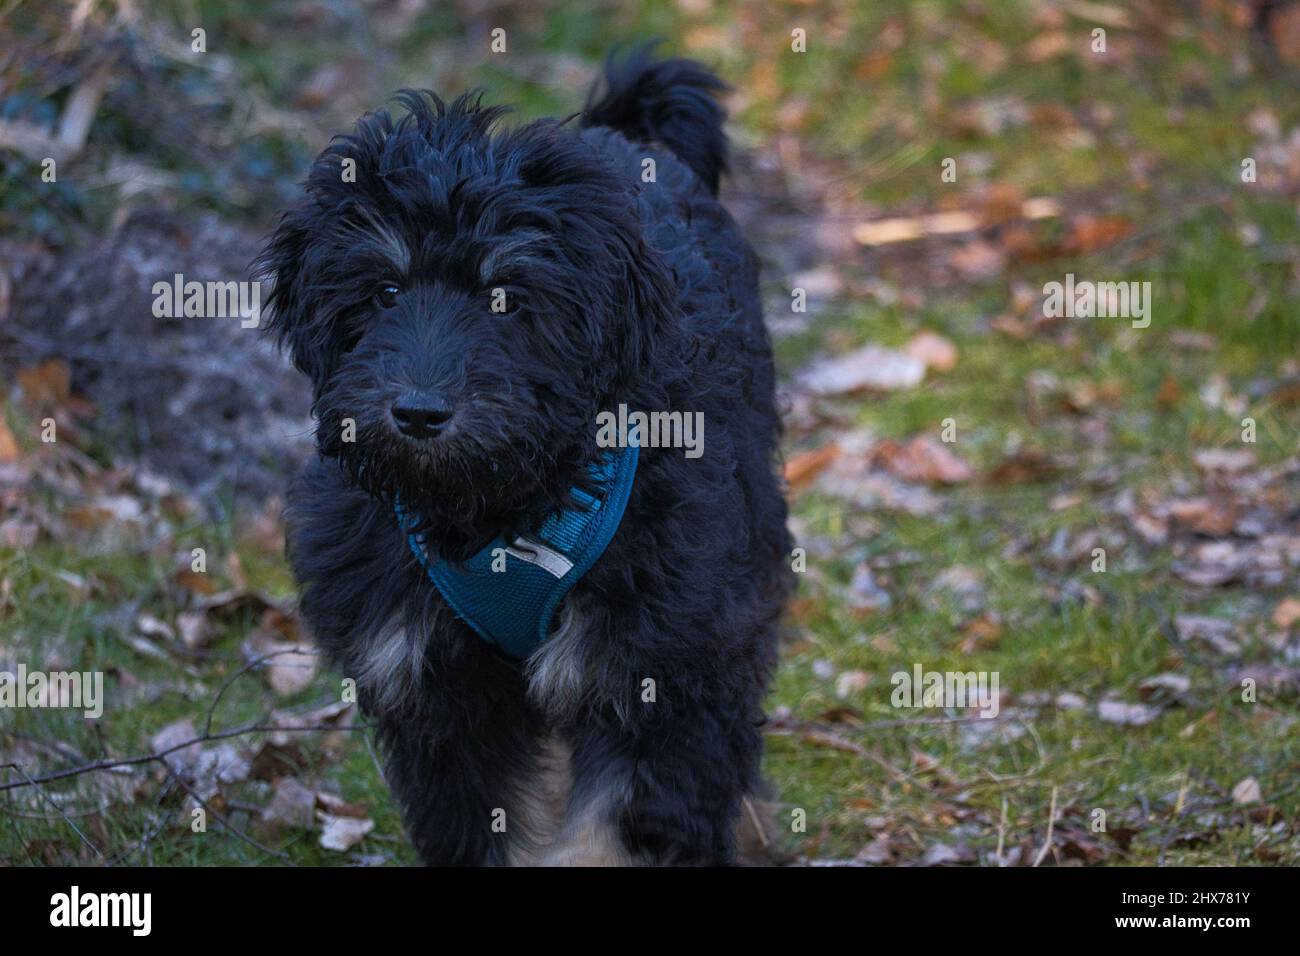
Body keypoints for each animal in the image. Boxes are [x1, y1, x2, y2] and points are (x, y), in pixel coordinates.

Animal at [256, 46, 790, 868]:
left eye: (506, 296)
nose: (418, 413)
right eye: (384, 291)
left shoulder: (664, 664)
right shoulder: (430, 680)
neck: (501, 512)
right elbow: (484, 822)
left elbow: (627, 823)